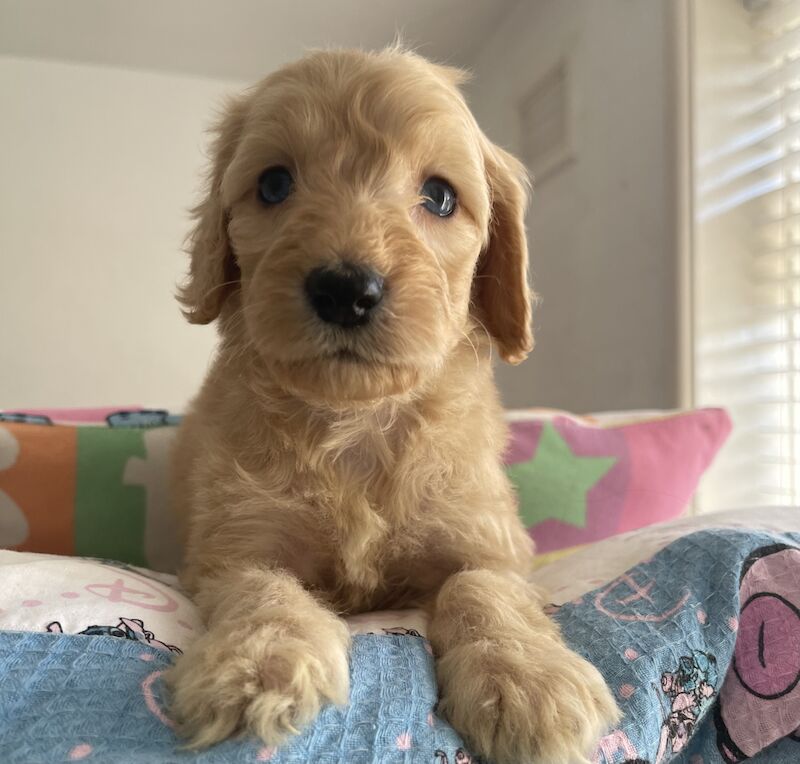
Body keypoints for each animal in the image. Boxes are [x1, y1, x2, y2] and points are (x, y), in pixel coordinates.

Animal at [166, 47, 620, 764]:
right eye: (273, 184)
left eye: (439, 196)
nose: (345, 290)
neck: (358, 422)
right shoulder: (233, 542)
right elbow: (260, 586)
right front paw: (258, 662)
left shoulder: (487, 538)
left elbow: (480, 586)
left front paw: (528, 678)